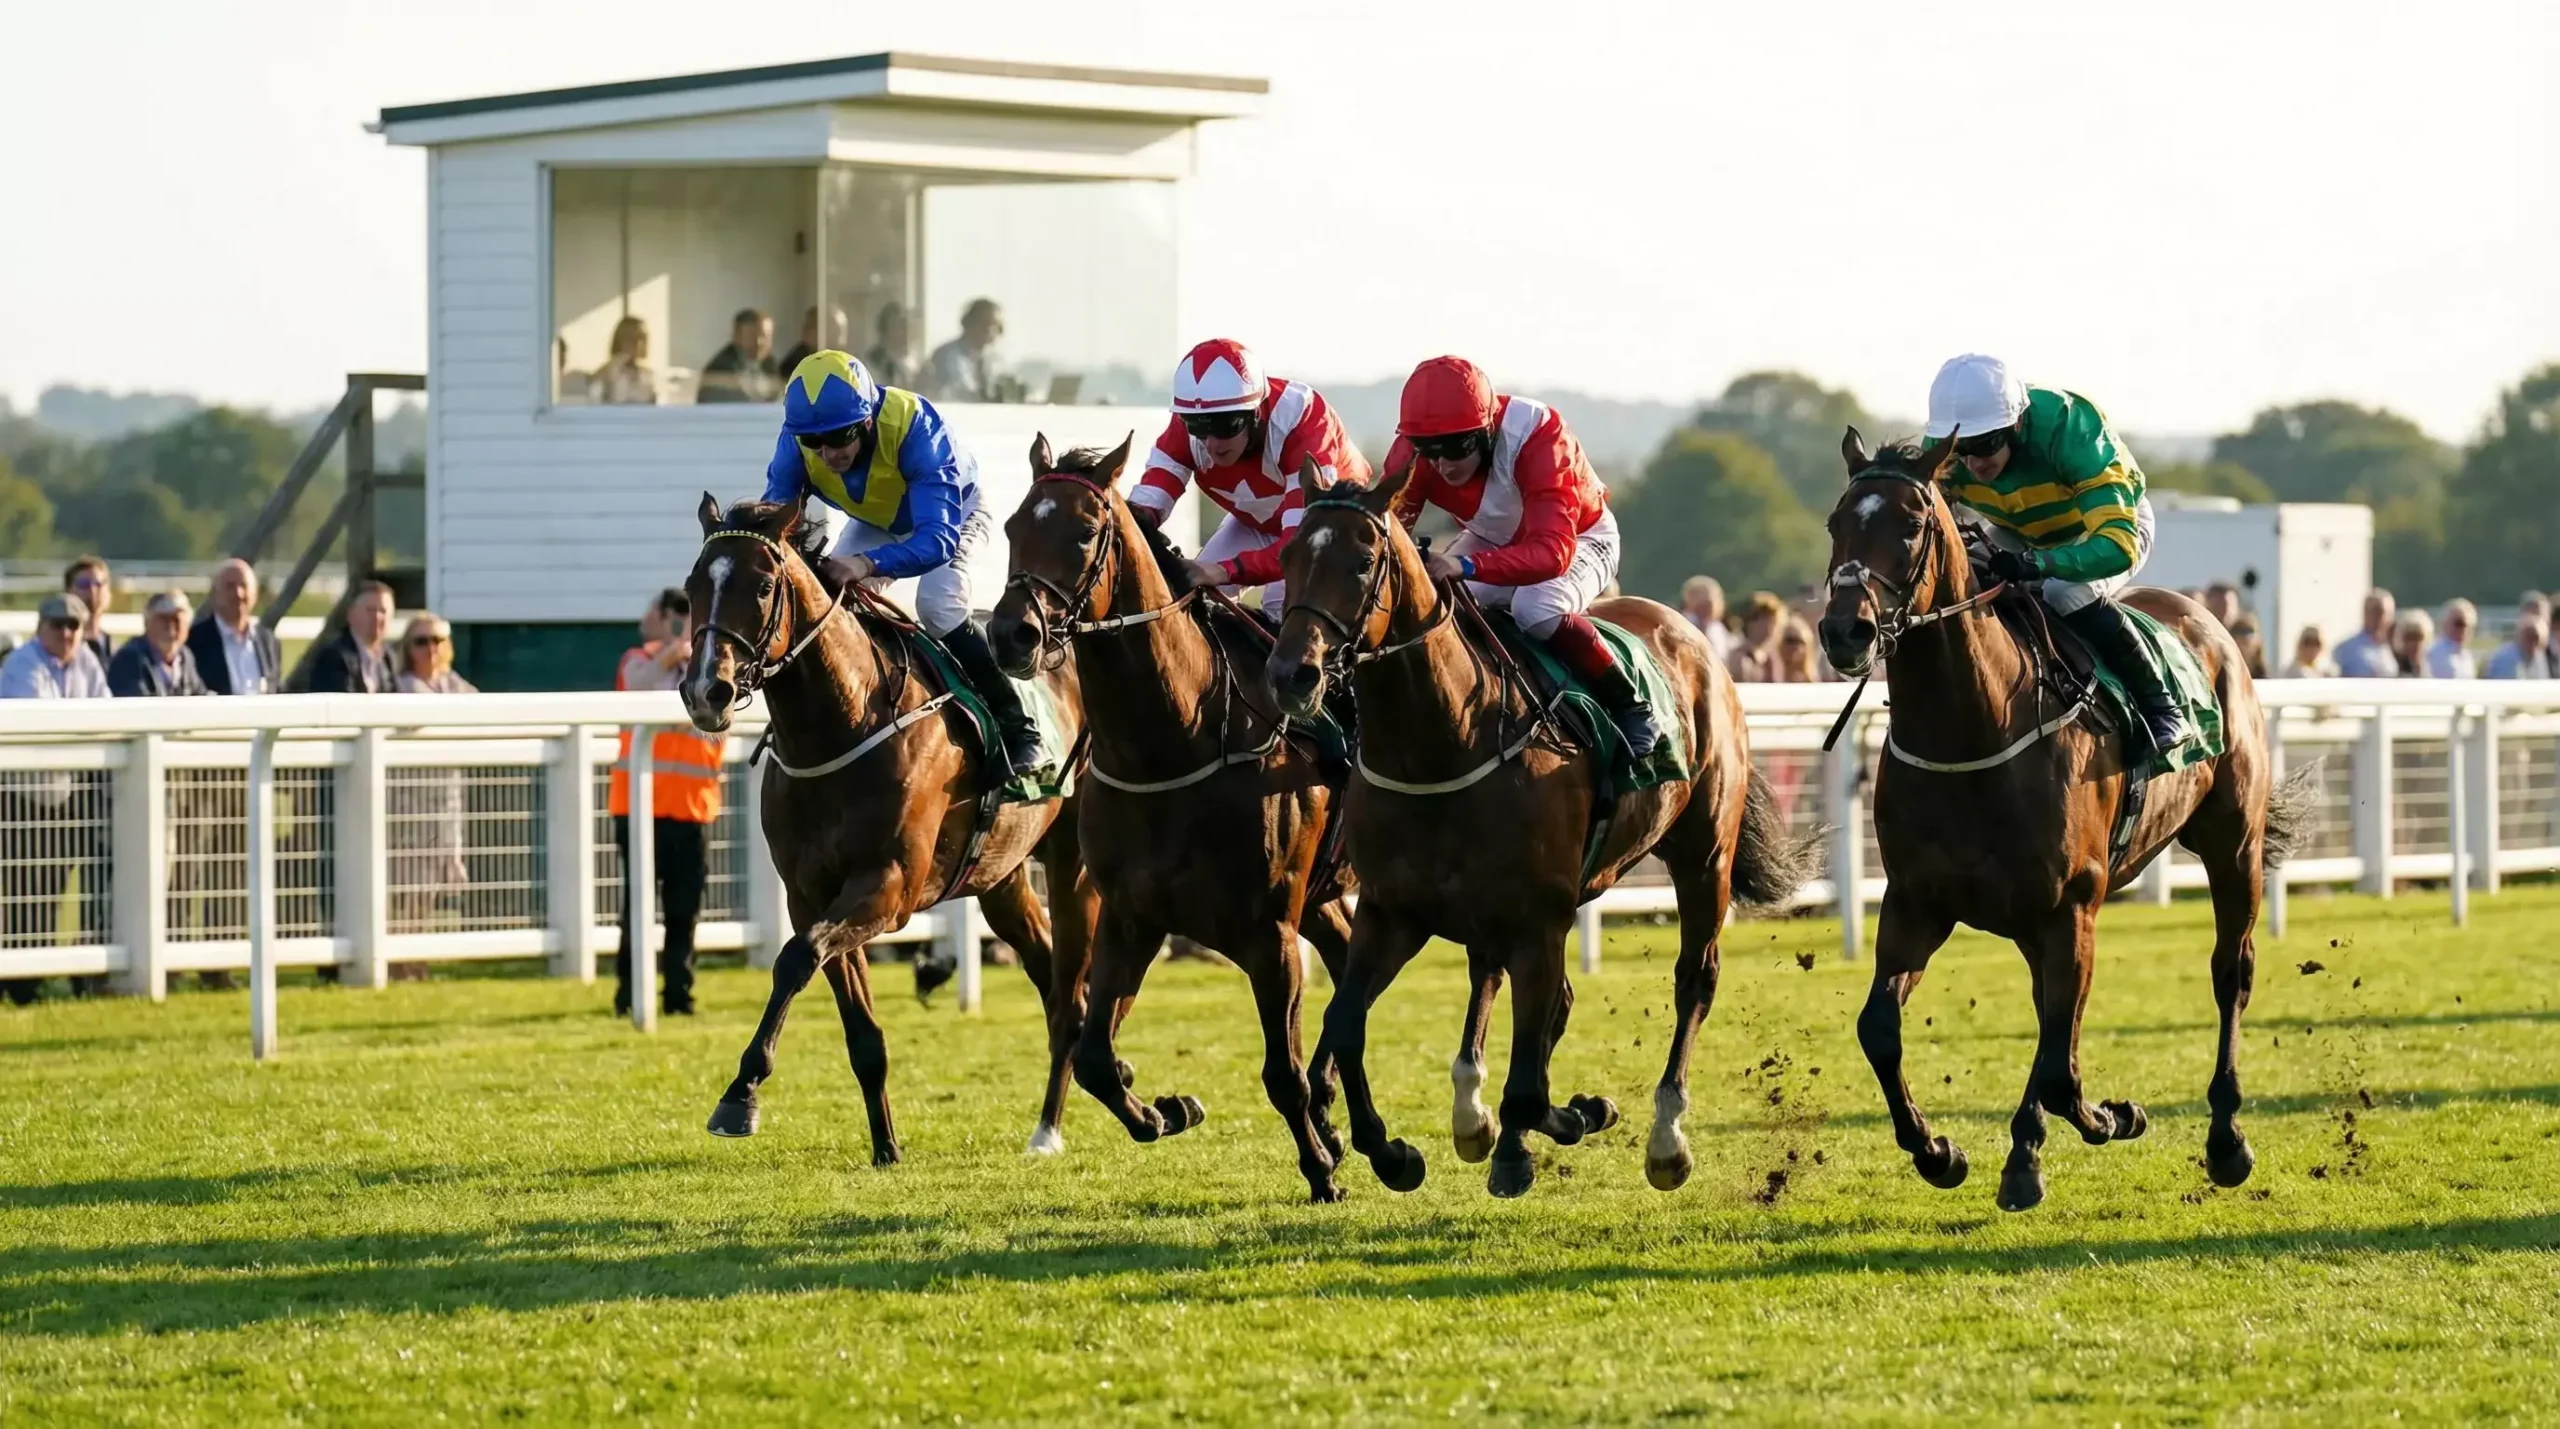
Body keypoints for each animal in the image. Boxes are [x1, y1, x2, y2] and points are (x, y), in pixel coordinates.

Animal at [680, 495, 1096, 1165]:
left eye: (764, 585)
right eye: (695, 584)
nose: (705, 691)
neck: (841, 725)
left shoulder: (889, 886)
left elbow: (795, 959)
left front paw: (739, 1094)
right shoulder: (810, 896)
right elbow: (859, 1031)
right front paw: (886, 1148)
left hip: (1073, 863)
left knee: (1072, 993)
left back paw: (1051, 1128)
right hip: (1002, 877)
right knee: (1053, 984)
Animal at [987, 436, 1359, 1201]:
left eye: (1083, 532)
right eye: (1012, 527)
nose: (1012, 634)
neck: (1173, 740)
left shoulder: (1269, 931)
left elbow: (1280, 1071)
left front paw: (1319, 1171)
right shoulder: (1131, 918)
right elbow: (1095, 1055)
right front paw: (1165, 1110)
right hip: (1320, 898)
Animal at [1262, 465, 1817, 1198]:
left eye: (1360, 561)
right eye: (1289, 557)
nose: (1291, 674)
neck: (1444, 741)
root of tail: (1690, 635)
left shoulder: (1537, 918)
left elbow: (1528, 1075)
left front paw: (1548, 1131)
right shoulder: (1393, 912)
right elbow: (1346, 1026)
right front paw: (1393, 1151)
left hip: (1703, 857)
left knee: (1692, 979)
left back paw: (1665, 1138)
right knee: (1523, 995)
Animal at [1814, 429, 2317, 1211]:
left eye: (1911, 523)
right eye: (1837, 521)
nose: (1846, 630)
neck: (1973, 731)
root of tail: (2211, 622)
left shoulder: (2072, 905)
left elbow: (2058, 1064)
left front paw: (2114, 1116)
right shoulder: (1917, 903)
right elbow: (1880, 1030)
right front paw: (1938, 1151)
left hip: (2232, 844)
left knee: (2229, 972)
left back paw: (2225, 1139)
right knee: (2051, 1016)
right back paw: (2024, 1156)